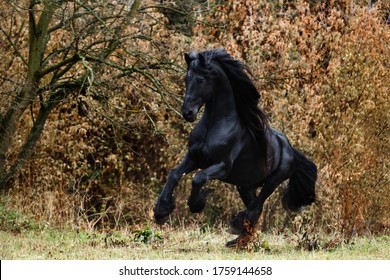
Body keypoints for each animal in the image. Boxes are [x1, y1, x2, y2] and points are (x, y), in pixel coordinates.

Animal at [153, 49, 316, 246]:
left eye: (201, 80)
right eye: (186, 79)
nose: (188, 113)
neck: (214, 126)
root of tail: (290, 148)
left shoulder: (222, 166)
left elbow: (198, 179)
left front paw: (196, 204)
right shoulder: (194, 157)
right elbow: (174, 174)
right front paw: (161, 211)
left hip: (273, 181)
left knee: (257, 206)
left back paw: (236, 228)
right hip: (245, 186)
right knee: (254, 207)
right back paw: (238, 240)